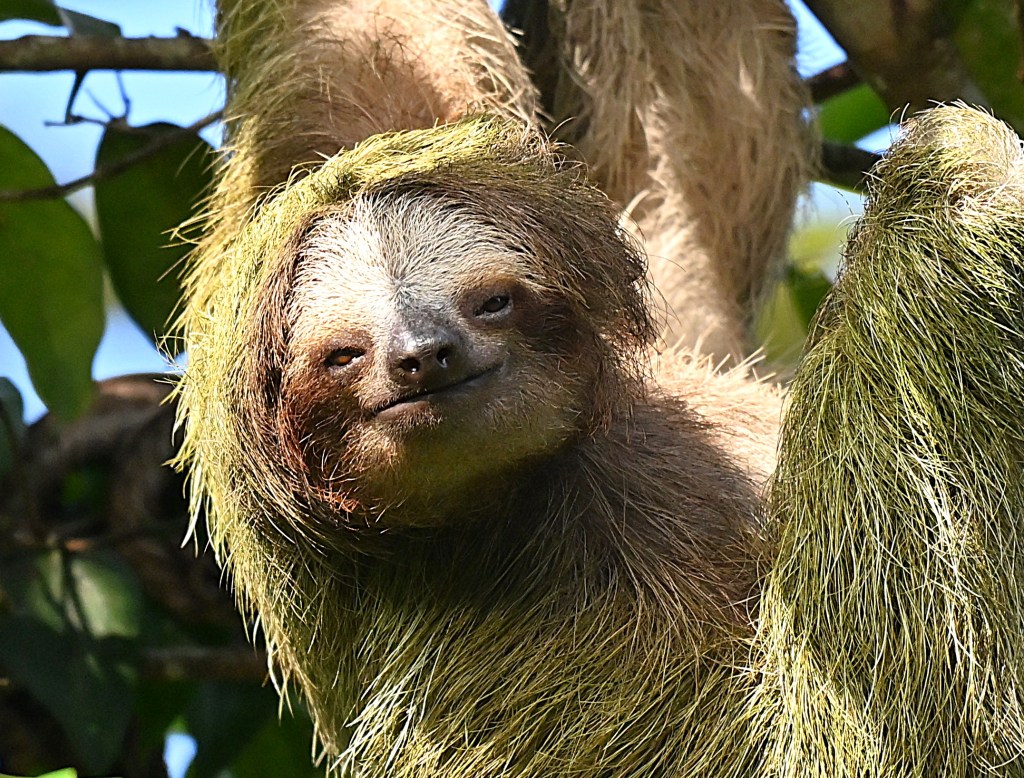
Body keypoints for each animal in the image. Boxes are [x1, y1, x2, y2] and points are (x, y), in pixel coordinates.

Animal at [175, 0, 1024, 774]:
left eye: (492, 301)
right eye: (343, 356)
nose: (424, 355)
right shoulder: (554, 672)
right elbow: (875, 729)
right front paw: (954, 181)